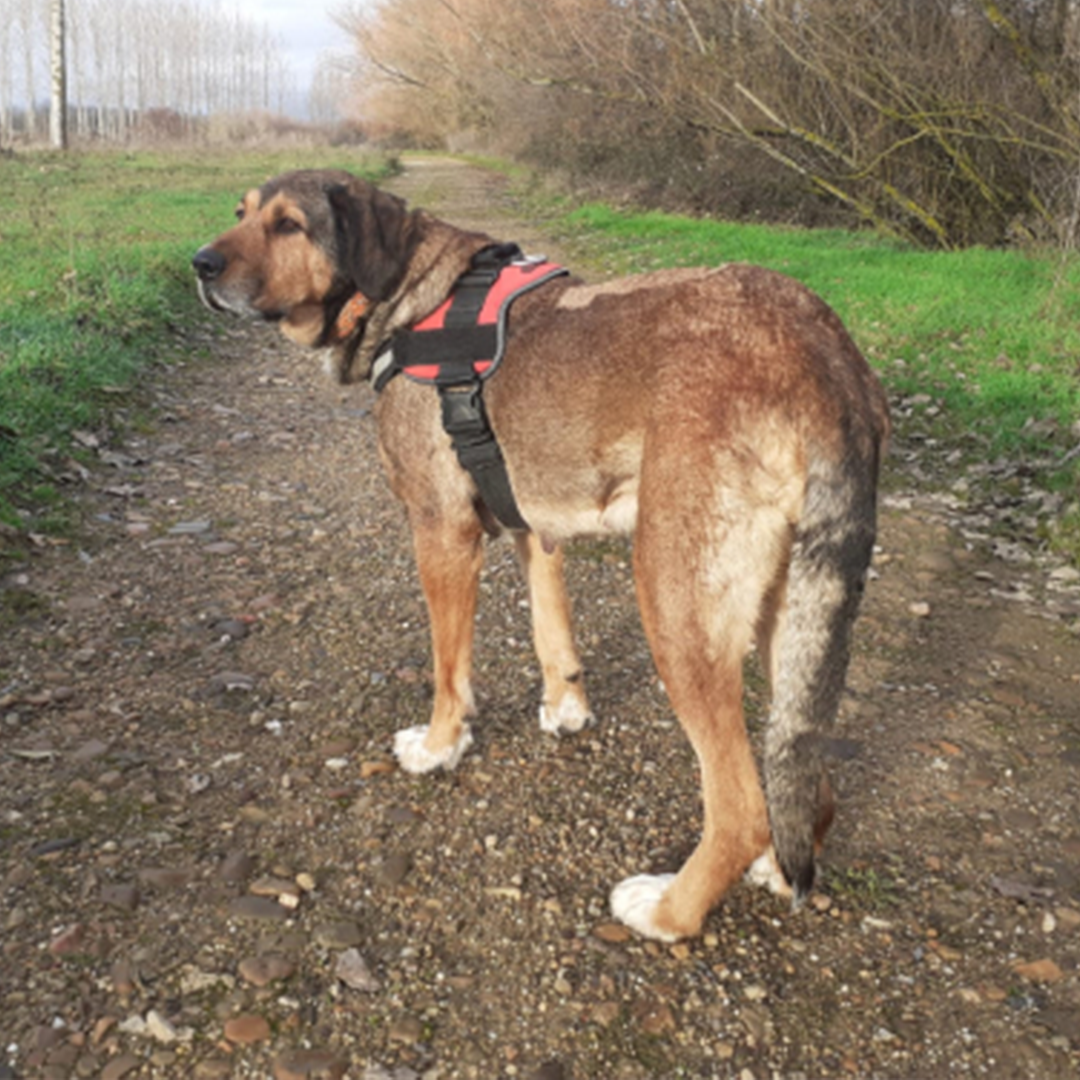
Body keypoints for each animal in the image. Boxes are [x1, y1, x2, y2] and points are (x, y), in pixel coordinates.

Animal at [192, 170, 885, 946]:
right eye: (241, 213)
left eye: (289, 225)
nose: (199, 265)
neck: (409, 293)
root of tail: (826, 356)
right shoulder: (531, 521)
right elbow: (551, 630)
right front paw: (566, 707)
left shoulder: (441, 531)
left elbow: (449, 668)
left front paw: (440, 746)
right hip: (788, 613)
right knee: (806, 774)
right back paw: (777, 869)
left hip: (675, 604)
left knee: (739, 807)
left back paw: (668, 911)